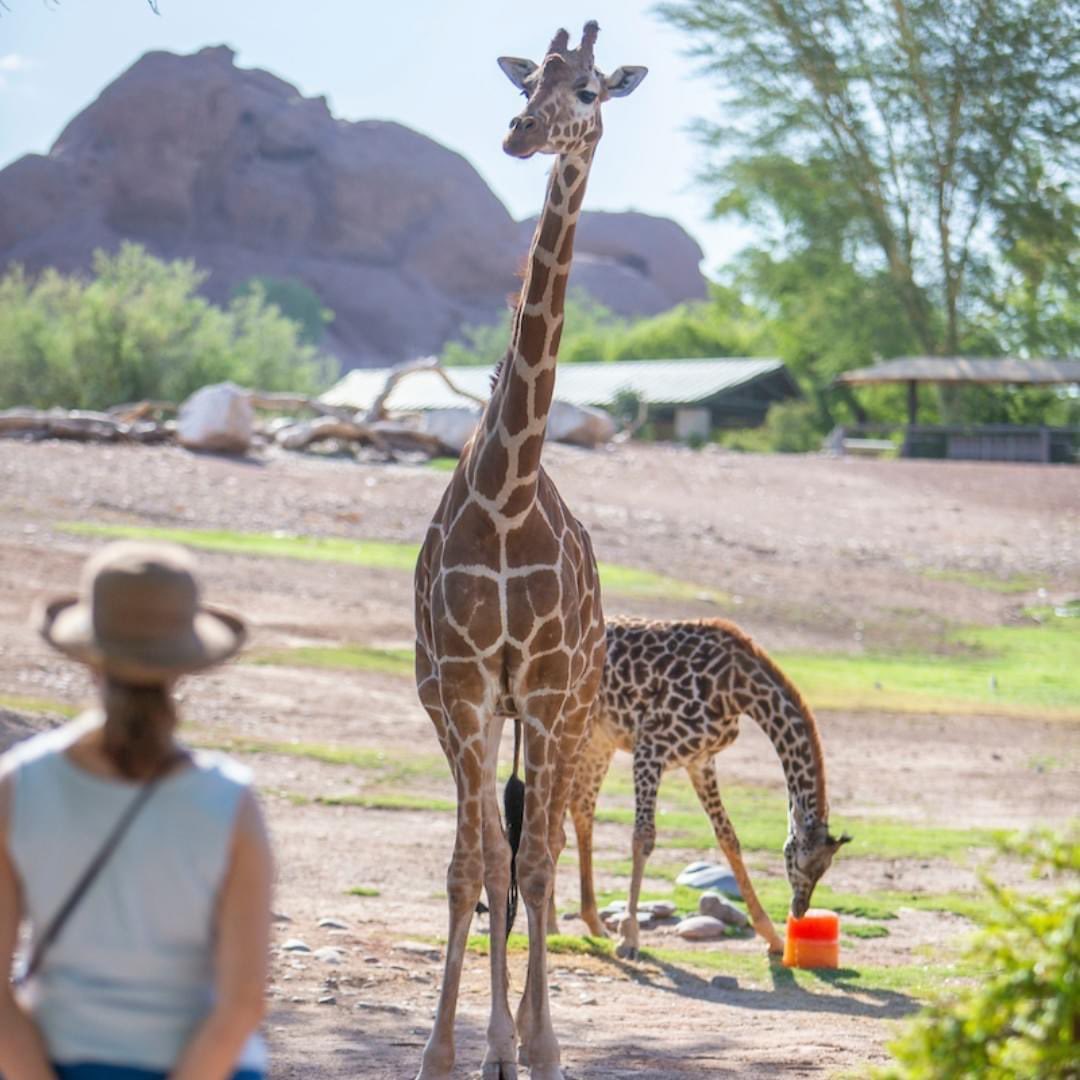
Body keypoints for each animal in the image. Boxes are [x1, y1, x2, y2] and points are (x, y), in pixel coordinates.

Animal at [570, 622, 846, 959]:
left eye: (826, 867)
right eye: (798, 861)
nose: (800, 908)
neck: (735, 689)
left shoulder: (700, 761)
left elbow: (728, 838)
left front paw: (772, 936)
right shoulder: (650, 747)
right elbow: (643, 837)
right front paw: (630, 937)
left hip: (598, 739)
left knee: (579, 807)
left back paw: (590, 923)